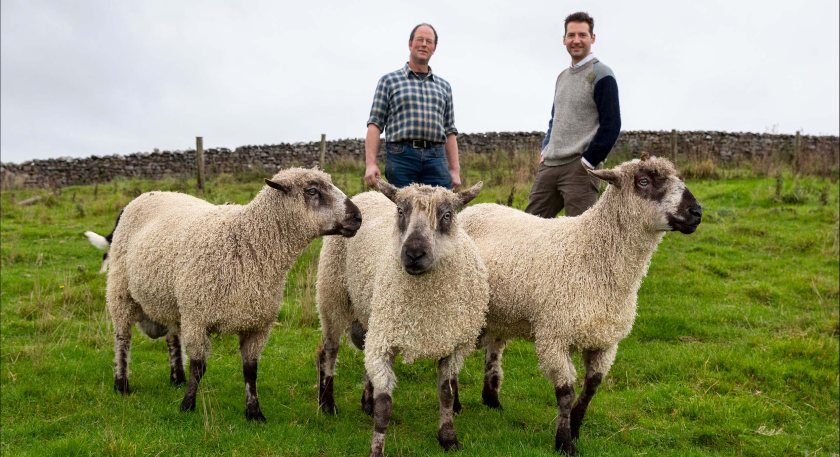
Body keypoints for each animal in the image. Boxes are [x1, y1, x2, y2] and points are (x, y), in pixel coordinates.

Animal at [86, 167, 360, 420]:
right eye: (311, 191)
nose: (357, 217)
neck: (247, 243)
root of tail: (145, 196)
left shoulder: (257, 325)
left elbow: (251, 370)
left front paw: (254, 412)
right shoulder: (197, 318)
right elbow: (199, 366)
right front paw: (187, 406)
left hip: (173, 300)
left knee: (172, 336)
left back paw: (176, 377)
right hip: (121, 291)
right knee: (123, 340)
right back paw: (122, 383)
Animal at [314, 180, 486, 454]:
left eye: (447, 215)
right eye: (401, 211)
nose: (414, 253)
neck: (425, 307)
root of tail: (367, 194)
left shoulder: (452, 343)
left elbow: (446, 393)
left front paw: (448, 437)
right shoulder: (385, 340)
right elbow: (385, 405)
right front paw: (376, 450)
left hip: (371, 315)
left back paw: (365, 401)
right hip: (333, 297)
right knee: (328, 352)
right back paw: (328, 403)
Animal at [460, 156, 704, 452]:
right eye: (644, 182)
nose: (696, 212)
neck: (590, 253)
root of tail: (475, 209)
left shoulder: (606, 342)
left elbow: (591, 389)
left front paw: (576, 428)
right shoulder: (554, 337)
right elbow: (565, 392)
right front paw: (564, 443)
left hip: (501, 314)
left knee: (494, 350)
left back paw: (492, 400)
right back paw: (457, 404)